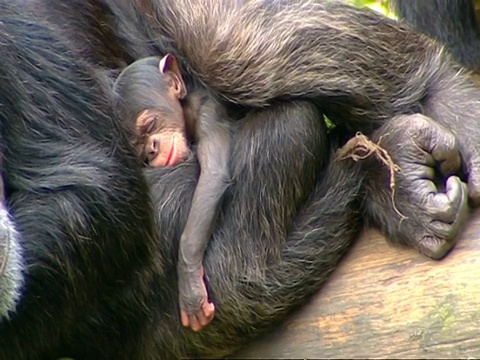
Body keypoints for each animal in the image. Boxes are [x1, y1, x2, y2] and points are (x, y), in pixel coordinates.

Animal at [113, 54, 232, 330]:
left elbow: (213, 174)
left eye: (149, 125)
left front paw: (189, 283)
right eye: (139, 147)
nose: (152, 149)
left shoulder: (208, 114)